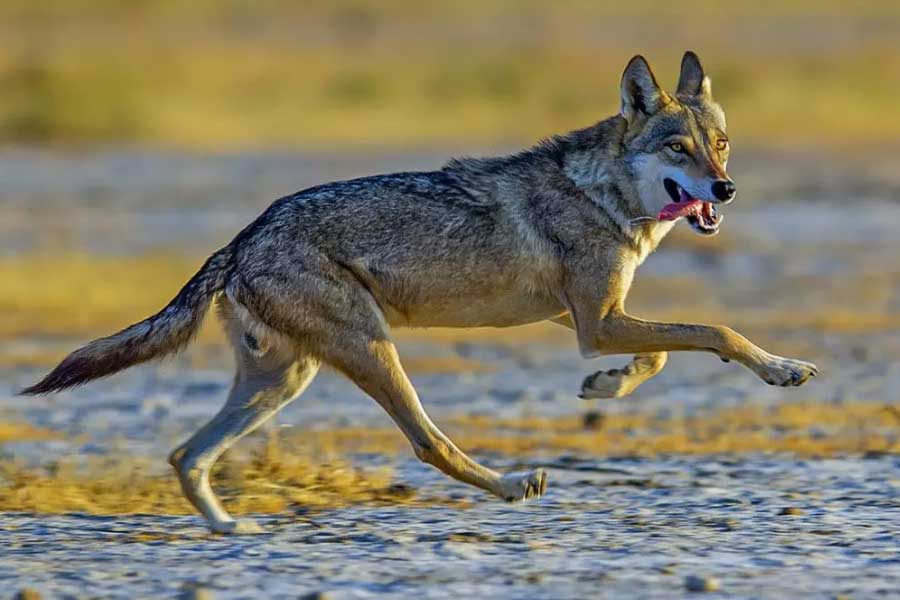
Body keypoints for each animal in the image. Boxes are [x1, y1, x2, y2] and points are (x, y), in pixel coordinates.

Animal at [23, 52, 818, 534]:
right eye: (678, 148)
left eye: (720, 145)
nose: (726, 189)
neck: (606, 196)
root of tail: (242, 238)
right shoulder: (598, 320)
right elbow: (714, 332)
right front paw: (781, 369)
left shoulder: (584, 318)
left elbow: (663, 354)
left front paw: (605, 387)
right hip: (370, 352)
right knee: (427, 443)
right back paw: (510, 485)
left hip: (283, 381)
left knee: (186, 455)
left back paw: (226, 527)